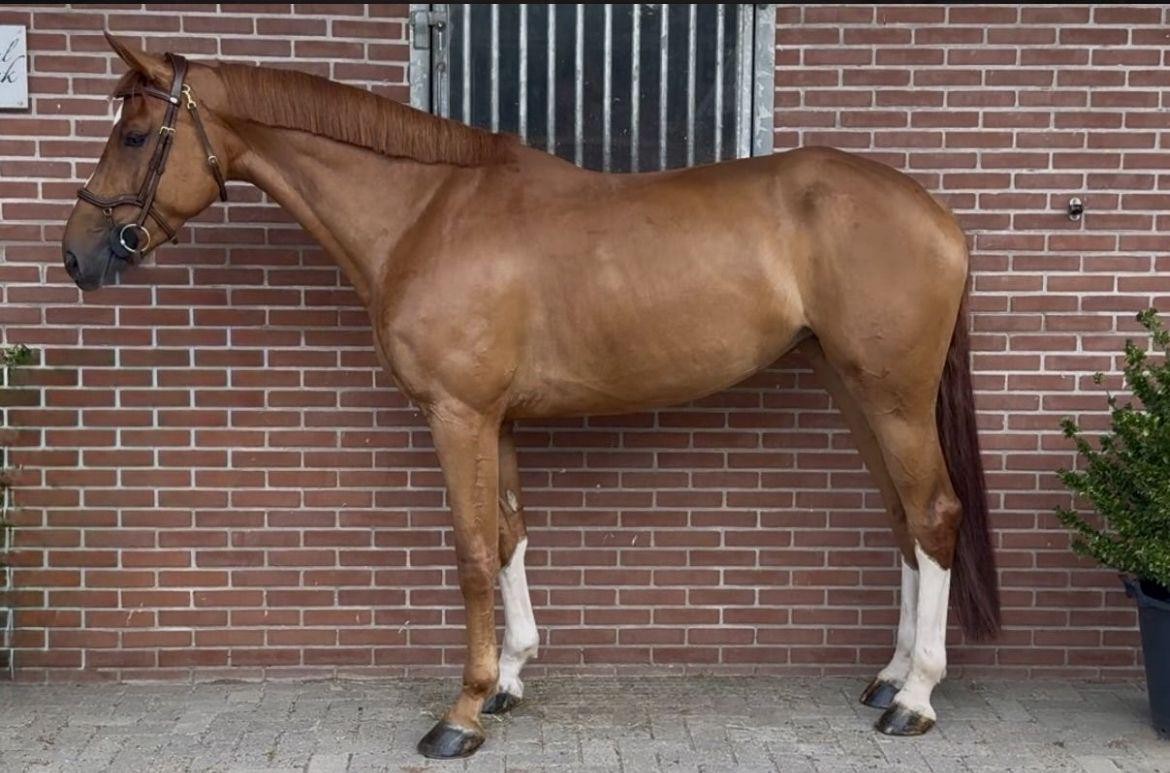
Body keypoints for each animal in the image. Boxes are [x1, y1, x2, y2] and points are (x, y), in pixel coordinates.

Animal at [62, 34, 1001, 759]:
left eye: (136, 134)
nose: (78, 255)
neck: (425, 211)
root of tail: (939, 217)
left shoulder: (458, 415)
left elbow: (473, 550)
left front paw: (462, 712)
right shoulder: (497, 419)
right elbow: (510, 534)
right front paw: (510, 678)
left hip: (894, 398)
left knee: (935, 514)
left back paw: (915, 698)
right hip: (853, 389)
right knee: (903, 522)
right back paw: (887, 678)